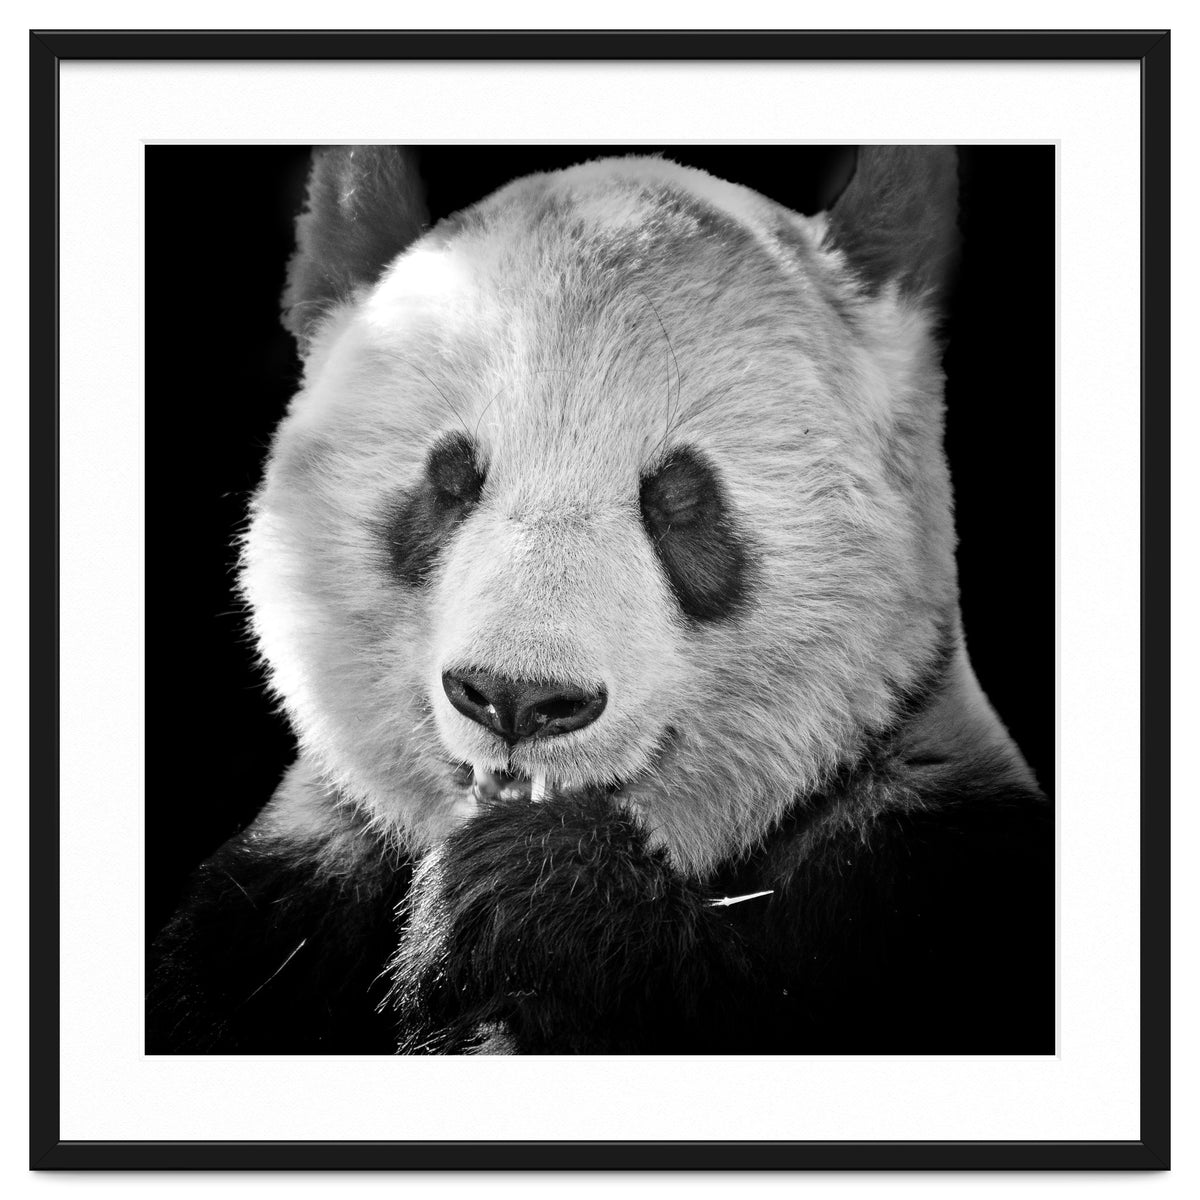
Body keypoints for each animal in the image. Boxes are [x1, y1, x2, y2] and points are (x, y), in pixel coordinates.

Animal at [148, 146, 1053, 1055]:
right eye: (449, 481)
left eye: (680, 500)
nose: (517, 697)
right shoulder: (280, 903)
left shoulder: (923, 868)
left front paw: (534, 896)